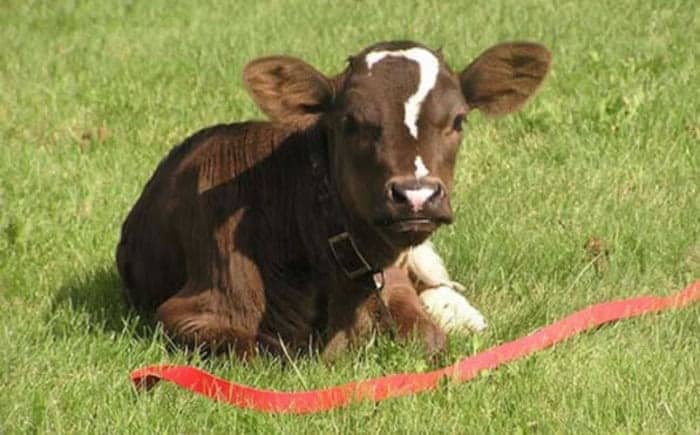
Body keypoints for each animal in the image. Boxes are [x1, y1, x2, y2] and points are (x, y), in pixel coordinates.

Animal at [116, 40, 551, 360]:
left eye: (458, 120)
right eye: (350, 122)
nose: (416, 195)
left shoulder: (393, 281)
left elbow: (427, 338)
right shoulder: (190, 310)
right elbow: (264, 350)